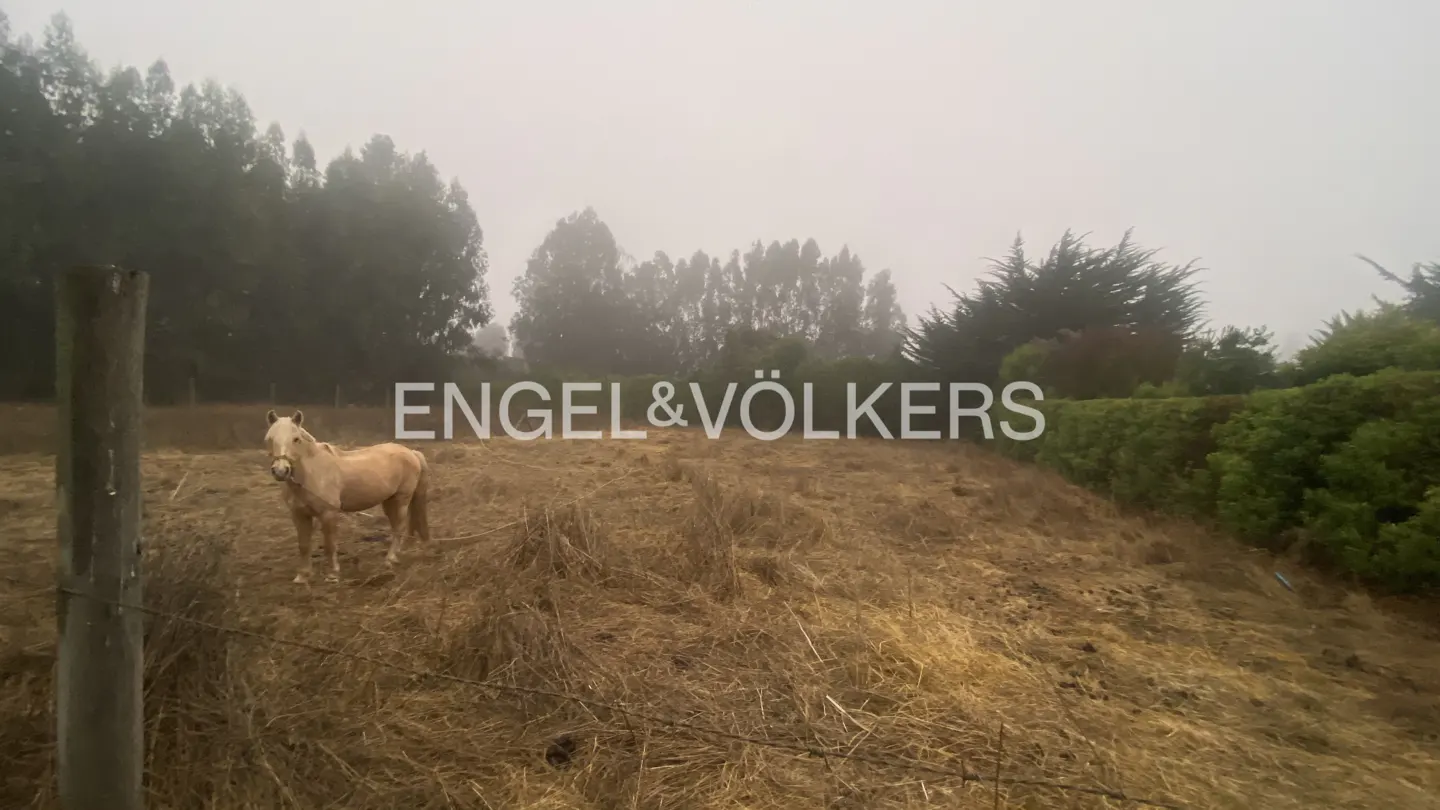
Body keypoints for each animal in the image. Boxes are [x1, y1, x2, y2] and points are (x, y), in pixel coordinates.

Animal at [264, 409, 432, 584]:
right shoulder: (299, 515)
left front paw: (333, 575)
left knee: (399, 526)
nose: (281, 471)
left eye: (296, 439)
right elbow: (303, 545)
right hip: (389, 501)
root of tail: (411, 452)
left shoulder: (328, 514)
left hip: (401, 499)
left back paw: (390, 559)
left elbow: (330, 545)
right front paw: (302, 576)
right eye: (269, 439)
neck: (312, 473)